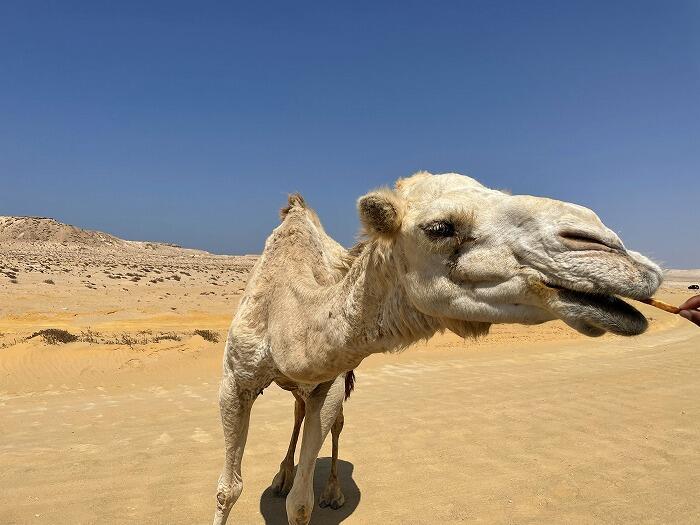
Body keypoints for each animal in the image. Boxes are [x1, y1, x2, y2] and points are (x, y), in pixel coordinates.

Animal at [213, 172, 660, 524]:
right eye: (440, 228)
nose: (612, 249)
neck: (282, 317)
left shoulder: (331, 382)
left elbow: (301, 503)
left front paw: (313, 492)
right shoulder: (235, 383)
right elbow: (227, 490)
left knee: (326, 420)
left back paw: (329, 490)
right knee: (296, 410)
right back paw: (281, 476)